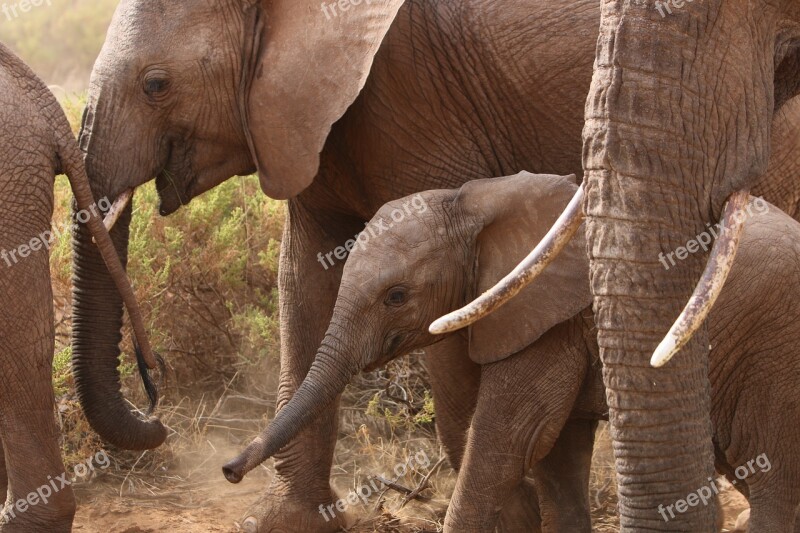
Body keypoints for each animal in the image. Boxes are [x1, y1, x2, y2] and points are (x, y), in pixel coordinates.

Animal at [223, 172, 800, 528]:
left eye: (397, 297)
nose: (229, 469)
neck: (470, 202)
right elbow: (554, 451)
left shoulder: (545, 315)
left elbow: (514, 436)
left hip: (774, 353)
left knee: (771, 475)